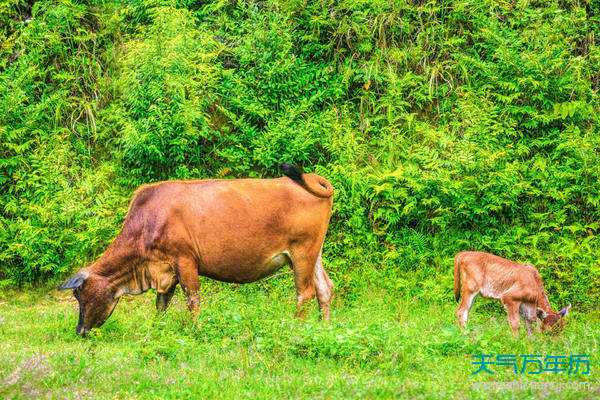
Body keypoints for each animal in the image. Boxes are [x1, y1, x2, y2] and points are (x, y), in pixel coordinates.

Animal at [59, 164, 336, 336]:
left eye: (80, 296)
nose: (79, 330)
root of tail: (313, 178)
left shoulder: (184, 260)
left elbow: (192, 300)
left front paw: (195, 330)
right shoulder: (165, 270)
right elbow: (161, 304)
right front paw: (158, 328)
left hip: (301, 252)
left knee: (305, 292)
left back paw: (297, 327)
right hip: (314, 253)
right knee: (324, 288)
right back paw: (324, 327)